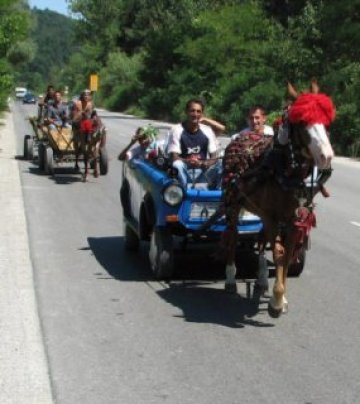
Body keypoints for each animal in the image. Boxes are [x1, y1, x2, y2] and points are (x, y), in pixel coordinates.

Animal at [202, 81, 334, 316]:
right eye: (302, 122)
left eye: (325, 120)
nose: (326, 156)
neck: (284, 170)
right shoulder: (272, 217)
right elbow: (280, 254)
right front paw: (277, 301)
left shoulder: (292, 219)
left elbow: (287, 255)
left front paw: (280, 297)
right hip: (233, 202)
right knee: (233, 236)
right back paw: (230, 278)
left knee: (262, 240)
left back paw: (262, 279)